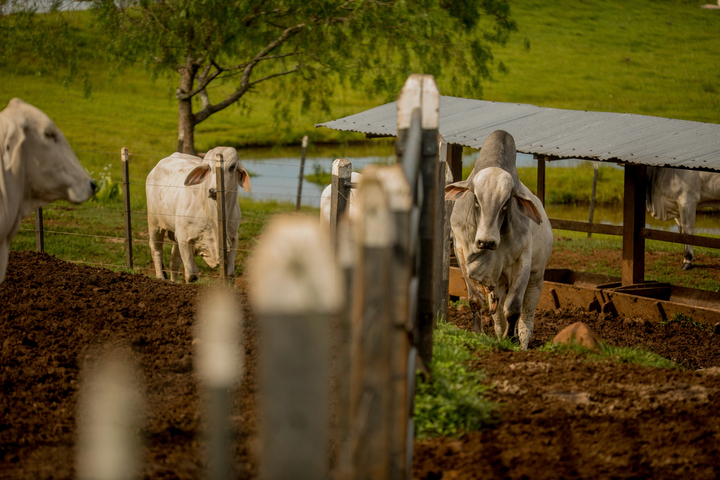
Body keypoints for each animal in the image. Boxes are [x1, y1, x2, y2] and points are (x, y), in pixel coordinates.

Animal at [145, 146, 252, 282]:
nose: (213, 191)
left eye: (232, 167)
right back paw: (160, 278)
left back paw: (174, 282)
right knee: (156, 250)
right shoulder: (184, 239)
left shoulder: (233, 239)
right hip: (155, 224)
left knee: (174, 261)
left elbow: (230, 275)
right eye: (209, 167)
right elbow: (192, 275)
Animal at [444, 130, 552, 348]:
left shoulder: (523, 261)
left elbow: (513, 307)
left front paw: (510, 340)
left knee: (527, 314)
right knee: (498, 313)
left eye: (505, 203)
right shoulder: (461, 254)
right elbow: (475, 301)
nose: (486, 242)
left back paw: (522, 343)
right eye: (476, 200)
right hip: (500, 281)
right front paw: (479, 333)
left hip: (537, 277)